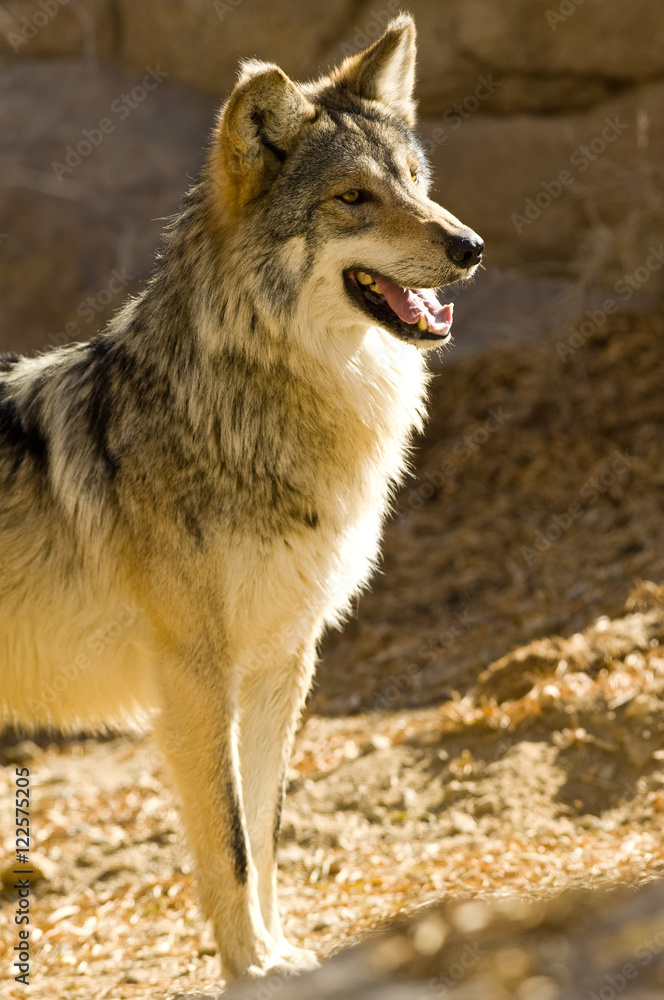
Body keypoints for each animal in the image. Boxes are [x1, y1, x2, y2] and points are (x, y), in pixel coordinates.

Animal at [0, 14, 482, 981]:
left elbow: (263, 833)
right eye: (353, 198)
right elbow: (225, 840)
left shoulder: (281, 663)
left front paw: (281, 955)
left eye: (416, 184)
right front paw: (253, 971)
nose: (470, 247)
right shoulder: (196, 675)